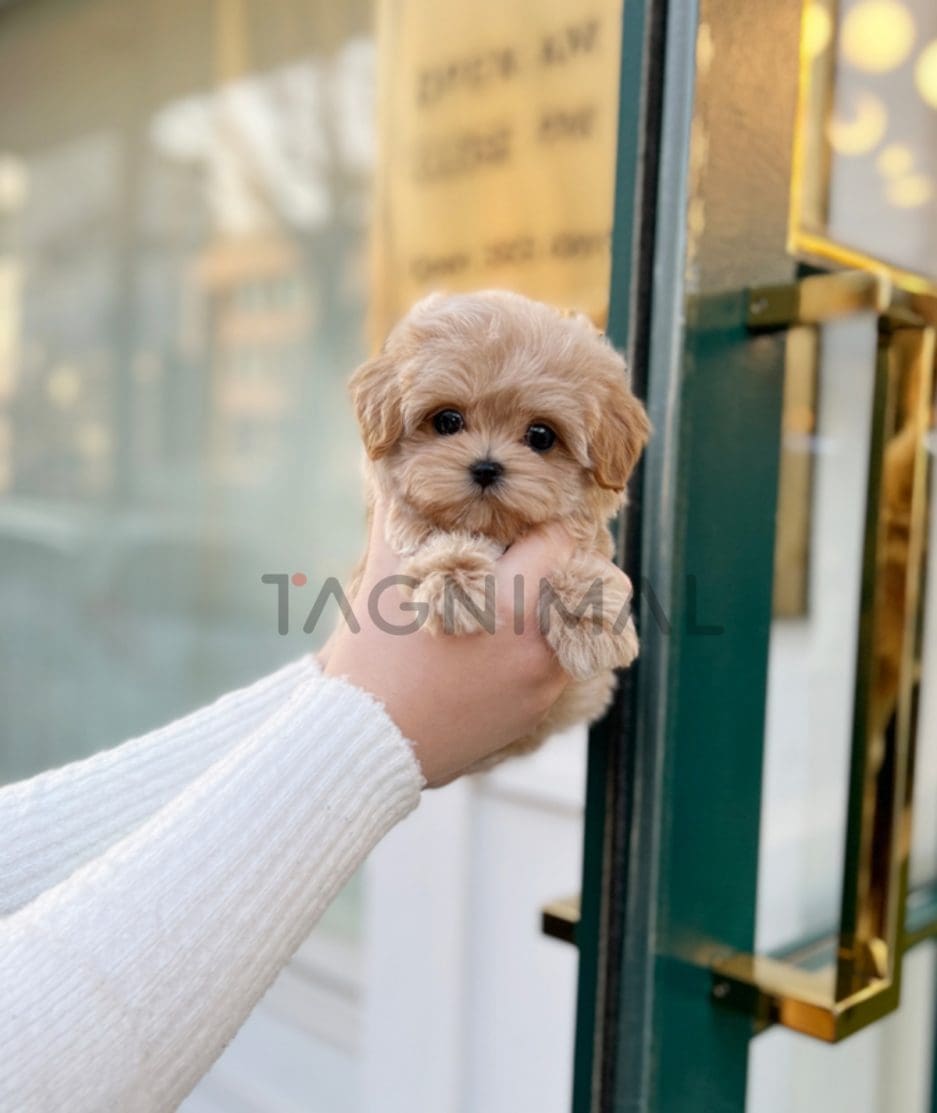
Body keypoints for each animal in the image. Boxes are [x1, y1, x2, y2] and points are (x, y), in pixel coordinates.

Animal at [347, 289, 645, 765]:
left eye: (541, 436)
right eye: (448, 421)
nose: (486, 467)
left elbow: (583, 555)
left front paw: (589, 617)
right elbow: (427, 533)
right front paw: (454, 579)